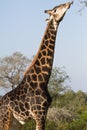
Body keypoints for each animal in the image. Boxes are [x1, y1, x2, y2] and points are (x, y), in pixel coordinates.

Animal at [0, 1, 72, 130]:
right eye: (57, 9)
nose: (69, 3)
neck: (43, 80)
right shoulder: (39, 113)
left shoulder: (44, 113)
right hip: (5, 118)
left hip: (15, 122)